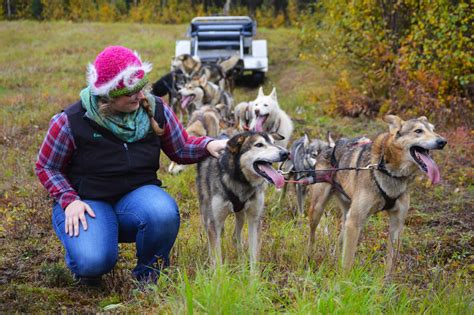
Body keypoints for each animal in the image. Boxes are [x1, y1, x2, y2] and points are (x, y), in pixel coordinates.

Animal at [310, 116, 446, 276]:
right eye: (418, 131)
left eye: (433, 129)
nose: (442, 142)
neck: (389, 170)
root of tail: (330, 147)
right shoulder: (354, 222)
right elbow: (348, 262)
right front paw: (344, 280)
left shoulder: (396, 225)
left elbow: (391, 263)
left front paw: (386, 282)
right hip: (320, 210)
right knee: (312, 237)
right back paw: (309, 259)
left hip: (349, 217)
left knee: (339, 242)